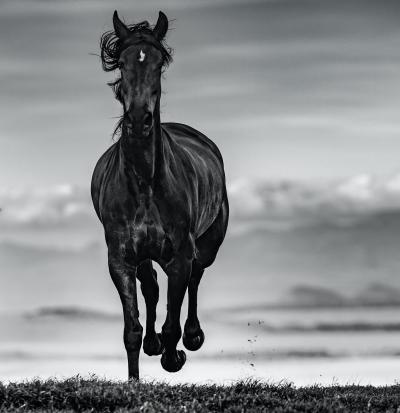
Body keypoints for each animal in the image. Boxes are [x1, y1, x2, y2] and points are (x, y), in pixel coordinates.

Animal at [90, 10, 228, 380]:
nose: (139, 119)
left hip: (209, 242)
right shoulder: (120, 258)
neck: (144, 184)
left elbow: (173, 320)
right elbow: (132, 328)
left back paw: (192, 337)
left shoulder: (180, 254)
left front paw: (174, 356)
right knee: (151, 285)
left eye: (159, 63)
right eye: (122, 63)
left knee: (197, 275)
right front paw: (135, 379)